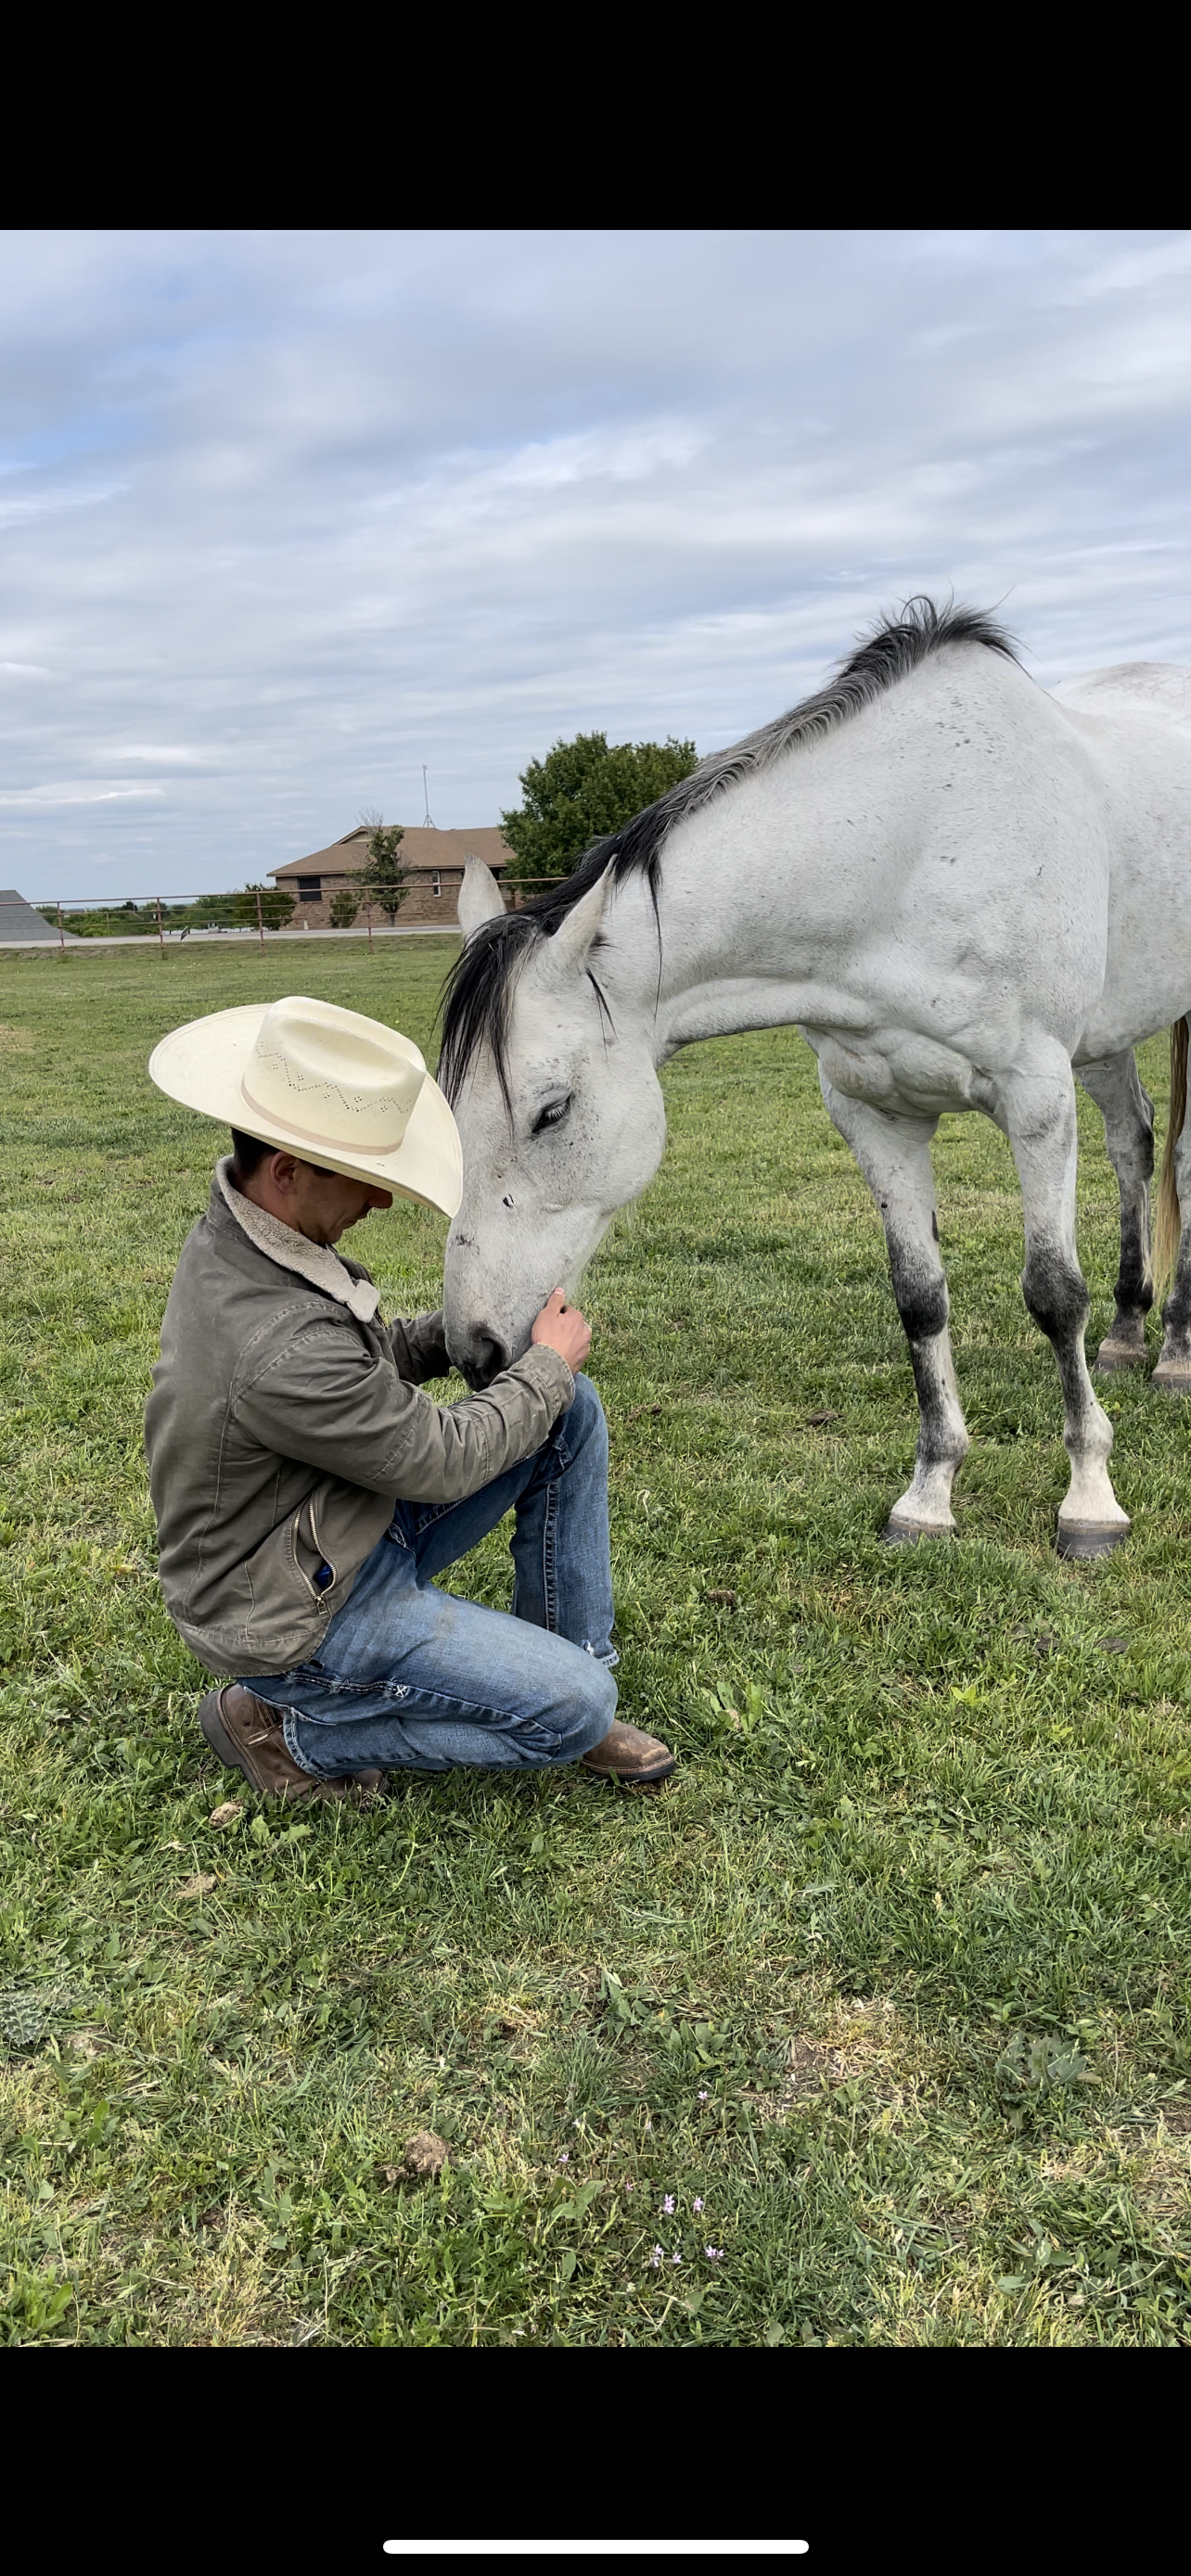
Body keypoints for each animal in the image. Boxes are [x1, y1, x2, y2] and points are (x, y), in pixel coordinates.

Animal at [438, 601, 1191, 1560]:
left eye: (552, 1110)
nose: (474, 1348)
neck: (916, 846)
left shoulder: (1035, 1099)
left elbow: (1055, 1296)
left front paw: (1091, 1500)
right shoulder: (876, 1115)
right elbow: (920, 1301)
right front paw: (930, 1493)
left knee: (1179, 1164)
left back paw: (1174, 1351)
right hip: (1105, 1036)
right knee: (1134, 1144)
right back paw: (1128, 1337)